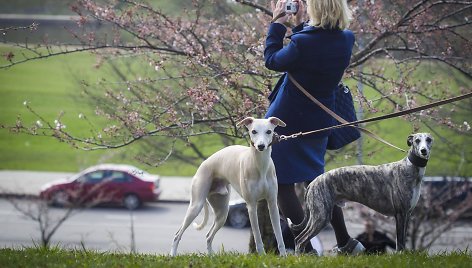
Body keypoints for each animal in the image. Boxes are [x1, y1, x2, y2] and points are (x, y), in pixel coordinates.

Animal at [171, 116, 286, 255]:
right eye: (254, 131)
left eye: (269, 131)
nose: (261, 146)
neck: (261, 166)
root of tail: (204, 163)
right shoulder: (251, 206)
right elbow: (258, 238)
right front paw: (262, 255)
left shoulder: (272, 203)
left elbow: (279, 237)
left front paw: (284, 256)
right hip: (196, 205)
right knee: (177, 235)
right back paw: (172, 255)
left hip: (222, 212)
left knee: (208, 236)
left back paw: (211, 256)